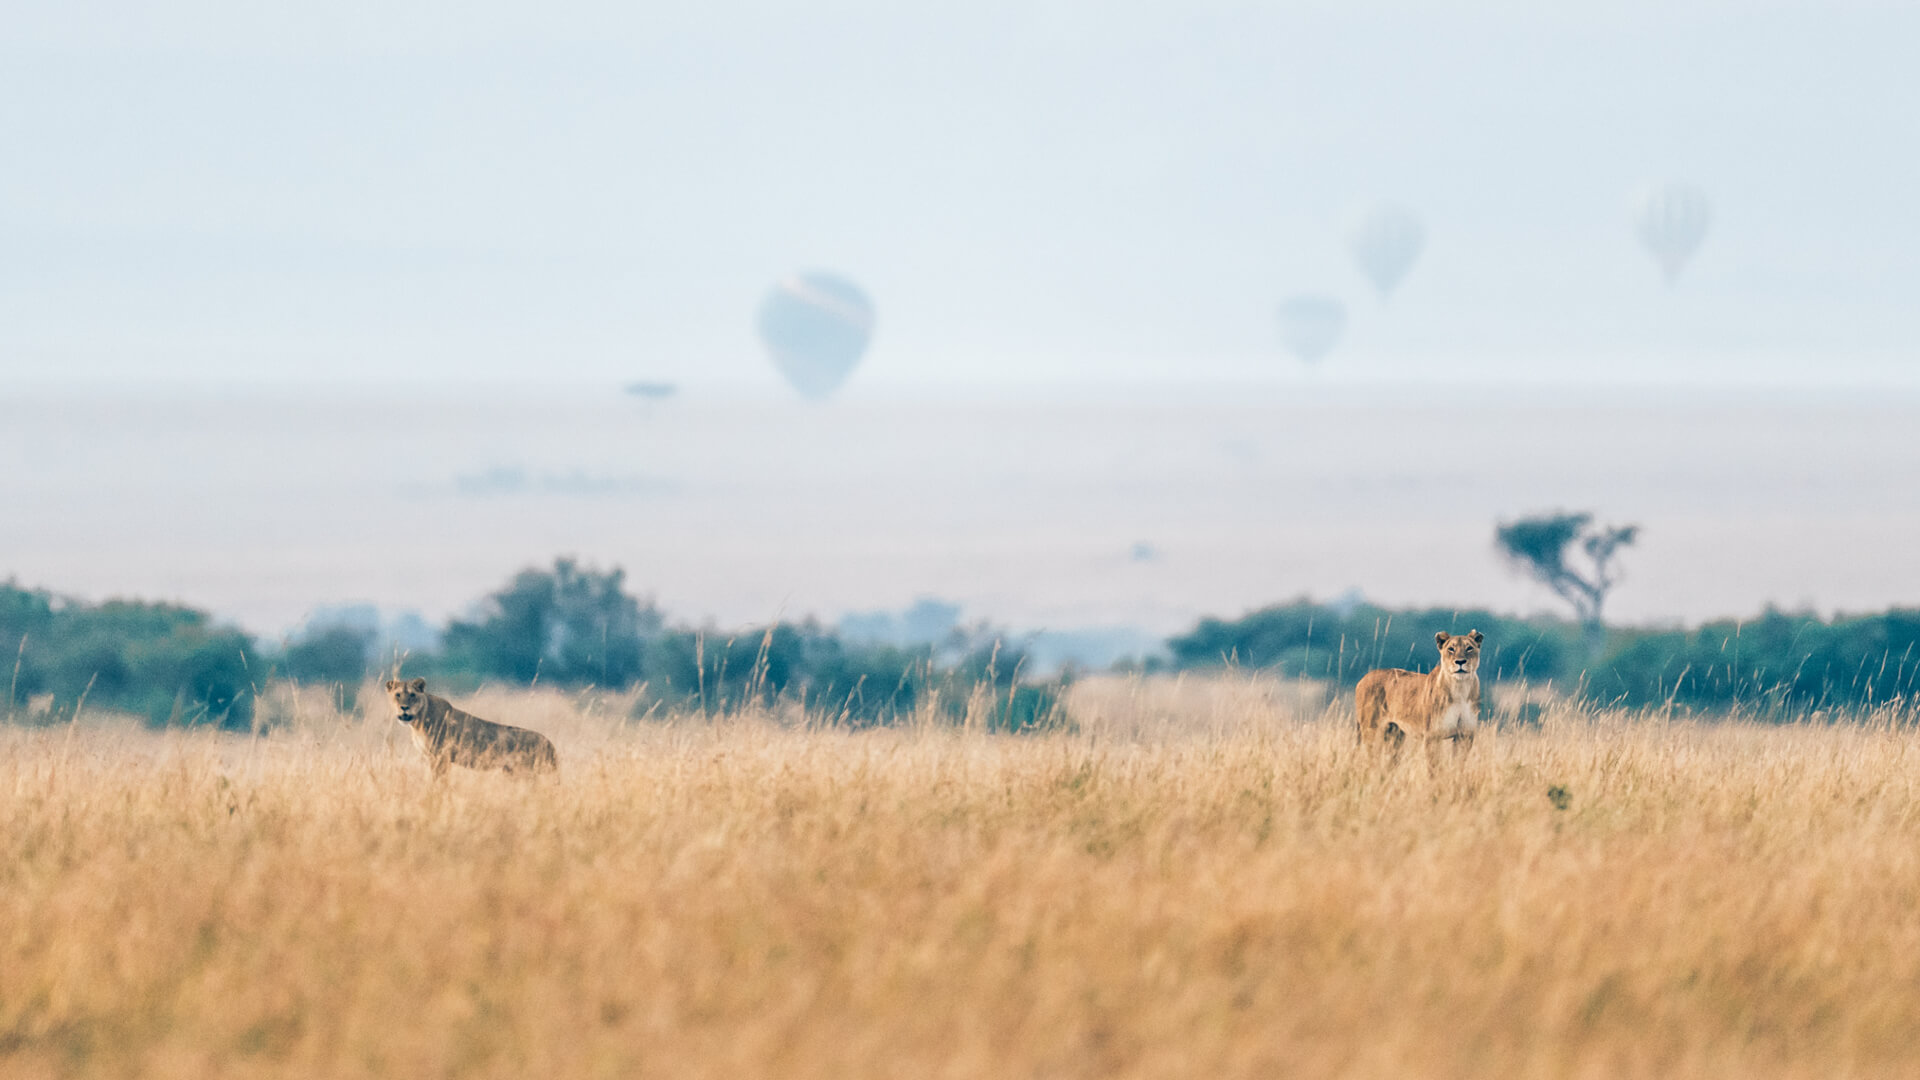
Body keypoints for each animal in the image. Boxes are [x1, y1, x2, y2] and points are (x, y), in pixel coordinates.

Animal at [384, 677, 558, 778]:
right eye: (398, 695)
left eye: (412, 695)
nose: (404, 708)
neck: (417, 722)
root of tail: (550, 743)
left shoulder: (440, 756)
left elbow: (439, 780)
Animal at [1354, 630, 1483, 764]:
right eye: (1451, 649)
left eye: (1469, 648)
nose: (1460, 662)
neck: (1460, 689)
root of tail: (1364, 678)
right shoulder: (1433, 736)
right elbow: (1434, 766)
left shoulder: (1465, 735)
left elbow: (1458, 764)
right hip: (1372, 731)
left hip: (1395, 734)